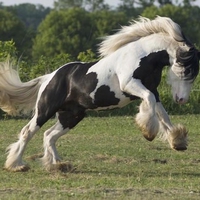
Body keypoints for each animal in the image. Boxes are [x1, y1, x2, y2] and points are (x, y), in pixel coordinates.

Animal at [0, 16, 199, 172]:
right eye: (186, 69)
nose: (181, 100)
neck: (141, 56)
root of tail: (50, 77)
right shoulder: (130, 85)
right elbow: (150, 105)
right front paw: (148, 131)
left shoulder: (152, 91)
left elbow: (163, 114)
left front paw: (177, 141)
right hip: (45, 110)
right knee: (27, 132)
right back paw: (17, 165)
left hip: (71, 116)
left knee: (49, 136)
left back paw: (58, 165)